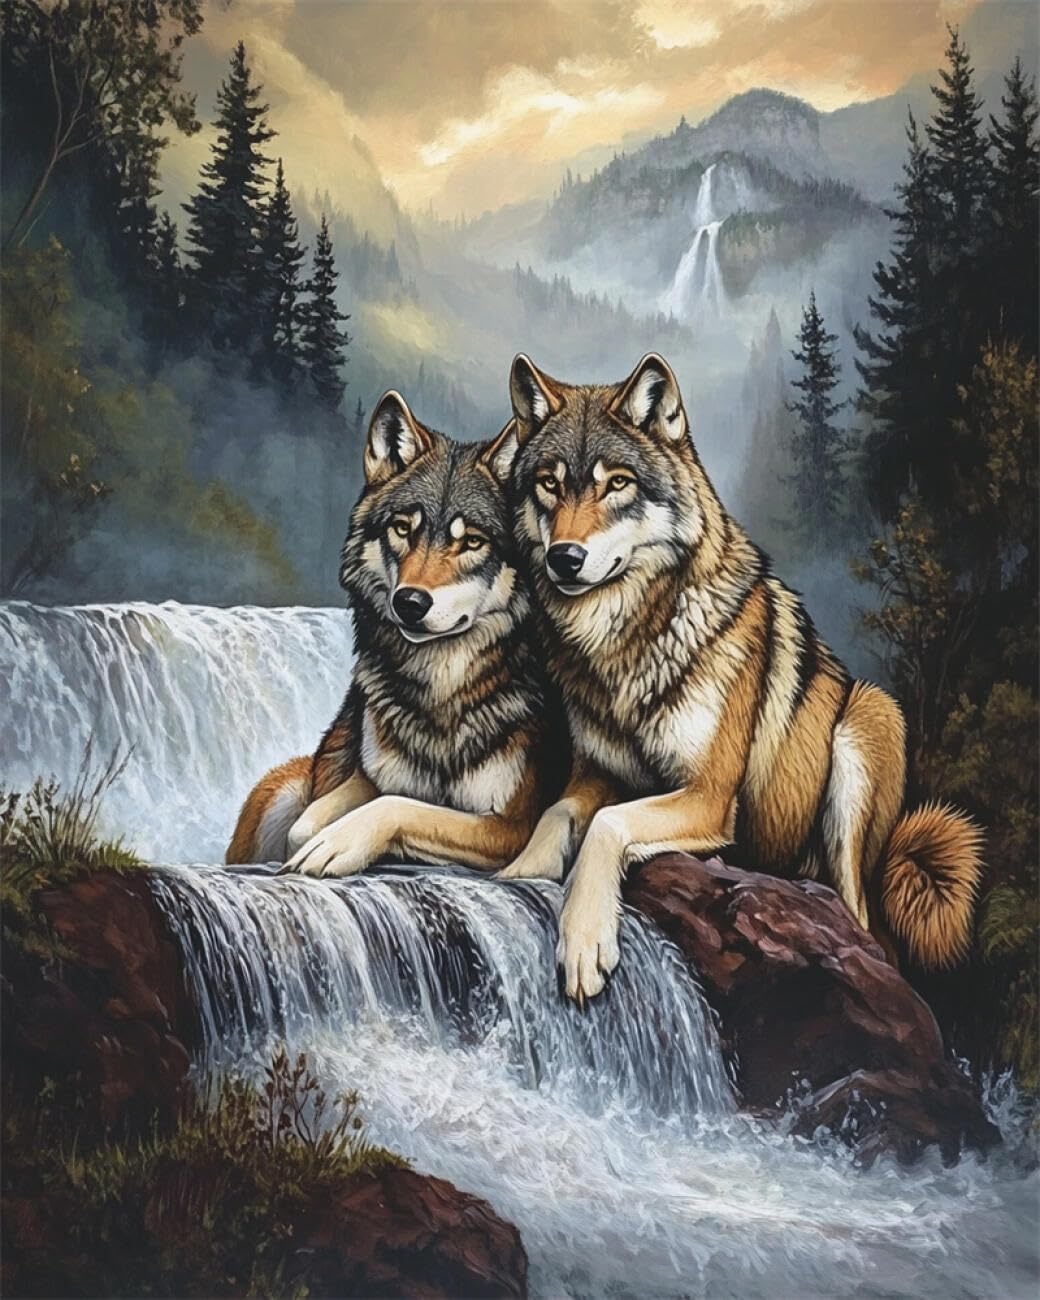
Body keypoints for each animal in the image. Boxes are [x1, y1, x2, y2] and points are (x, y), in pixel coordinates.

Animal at [227, 390, 560, 878]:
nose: (410, 602)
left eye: (472, 541)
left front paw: (343, 845)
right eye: (402, 529)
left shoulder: (511, 825)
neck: (440, 694)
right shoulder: (365, 778)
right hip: (278, 791)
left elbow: (401, 806)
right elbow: (305, 827)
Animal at [489, 351, 983, 1003]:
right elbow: (557, 815)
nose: (563, 558)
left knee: (869, 927)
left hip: (868, 721)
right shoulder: (596, 773)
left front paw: (584, 938)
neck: (626, 644)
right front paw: (517, 874)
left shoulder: (708, 795)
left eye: (617, 483)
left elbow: (605, 824)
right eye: (549, 483)